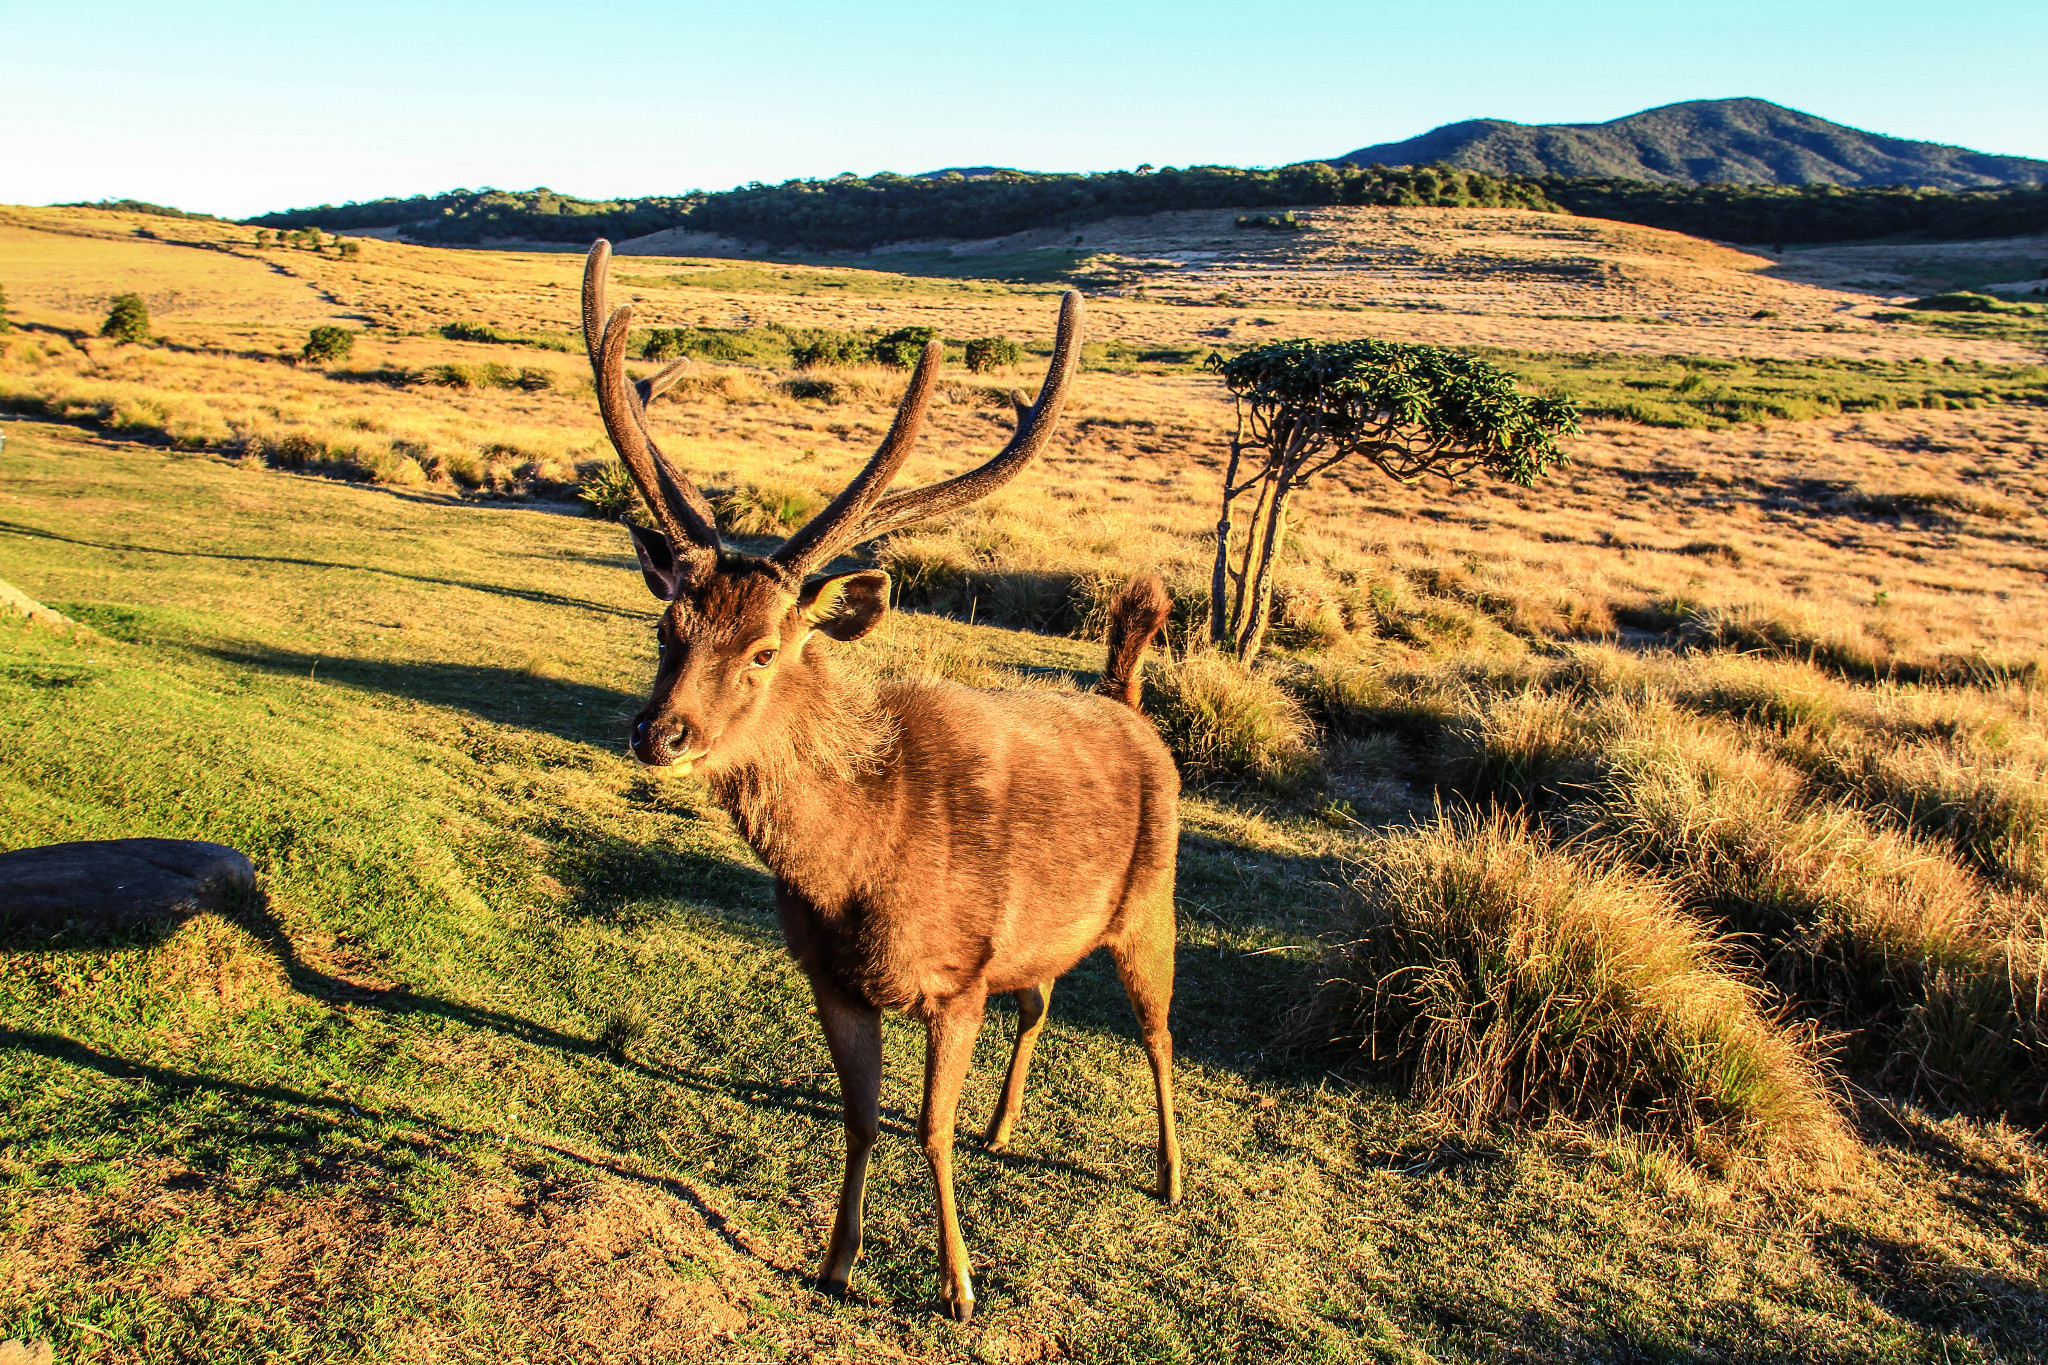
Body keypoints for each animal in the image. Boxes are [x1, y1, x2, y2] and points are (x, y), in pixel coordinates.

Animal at [577, 240, 1187, 1317]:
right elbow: (860, 1118)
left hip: (1149, 904)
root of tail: (1128, 703)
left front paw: (958, 1285)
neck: (866, 869)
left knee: (1159, 1035)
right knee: (1041, 1000)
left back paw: (1169, 1175)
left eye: (766, 649)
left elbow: (926, 1129)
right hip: (1039, 940)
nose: (659, 732)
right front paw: (835, 1259)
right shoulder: (831, 976)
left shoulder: (958, 977)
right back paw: (1004, 1124)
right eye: (666, 625)